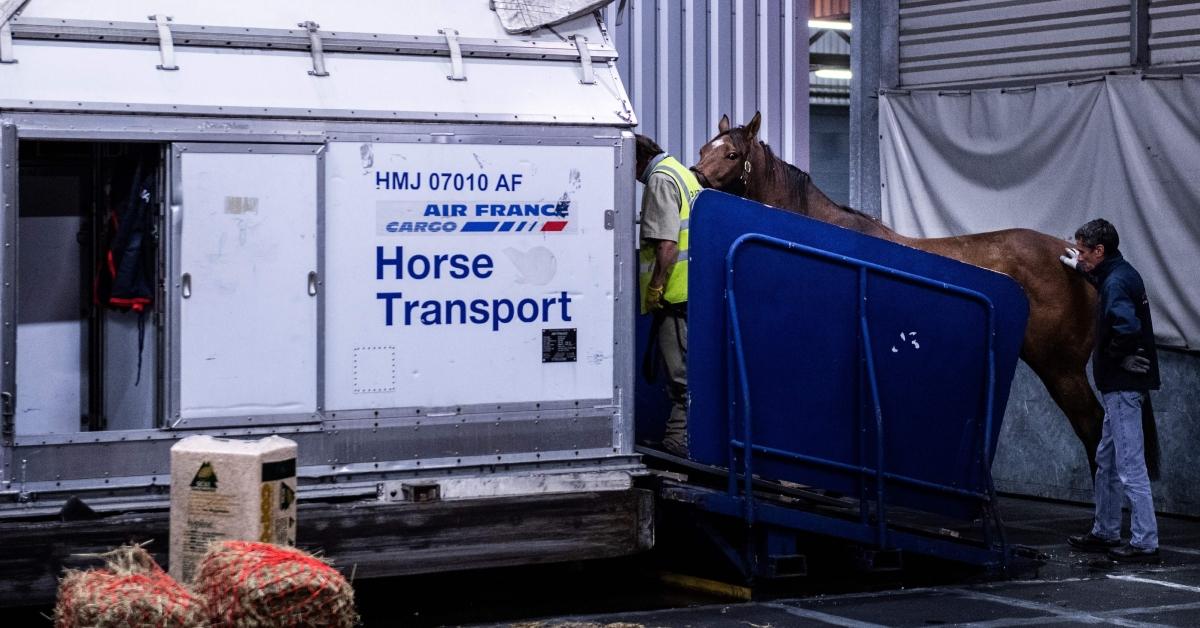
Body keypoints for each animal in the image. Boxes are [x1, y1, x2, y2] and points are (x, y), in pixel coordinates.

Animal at [696, 114, 1132, 477]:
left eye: (732, 154)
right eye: (704, 149)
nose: (696, 178)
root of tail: (1075, 260)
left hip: (1061, 368)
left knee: (1093, 427)